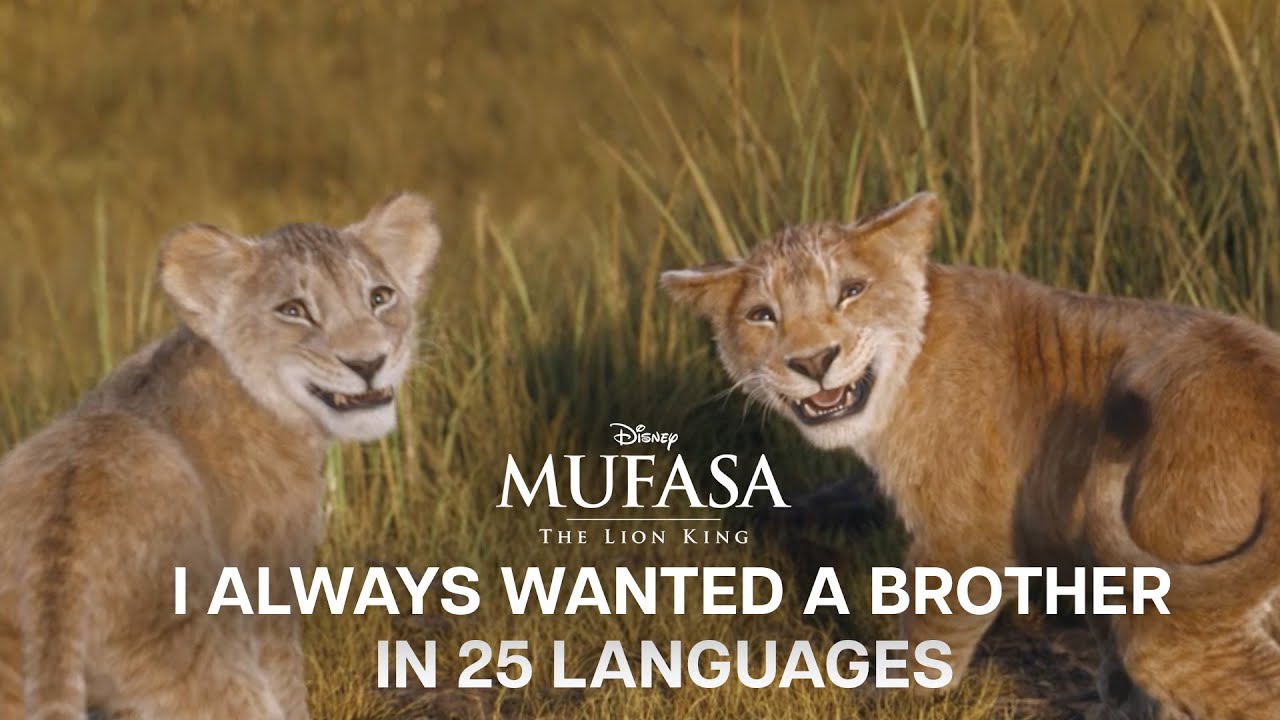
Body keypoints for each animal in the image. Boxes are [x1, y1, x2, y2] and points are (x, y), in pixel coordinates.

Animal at [0, 192, 440, 719]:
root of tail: (55, 555)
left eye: (379, 297)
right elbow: (288, 683)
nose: (368, 363)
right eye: (293, 310)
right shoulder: (269, 581)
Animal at [662, 192, 1280, 718]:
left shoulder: (965, 537)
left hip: (1178, 596)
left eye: (851, 290)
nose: (814, 362)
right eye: (761, 315)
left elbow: (930, 631)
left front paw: (889, 697)